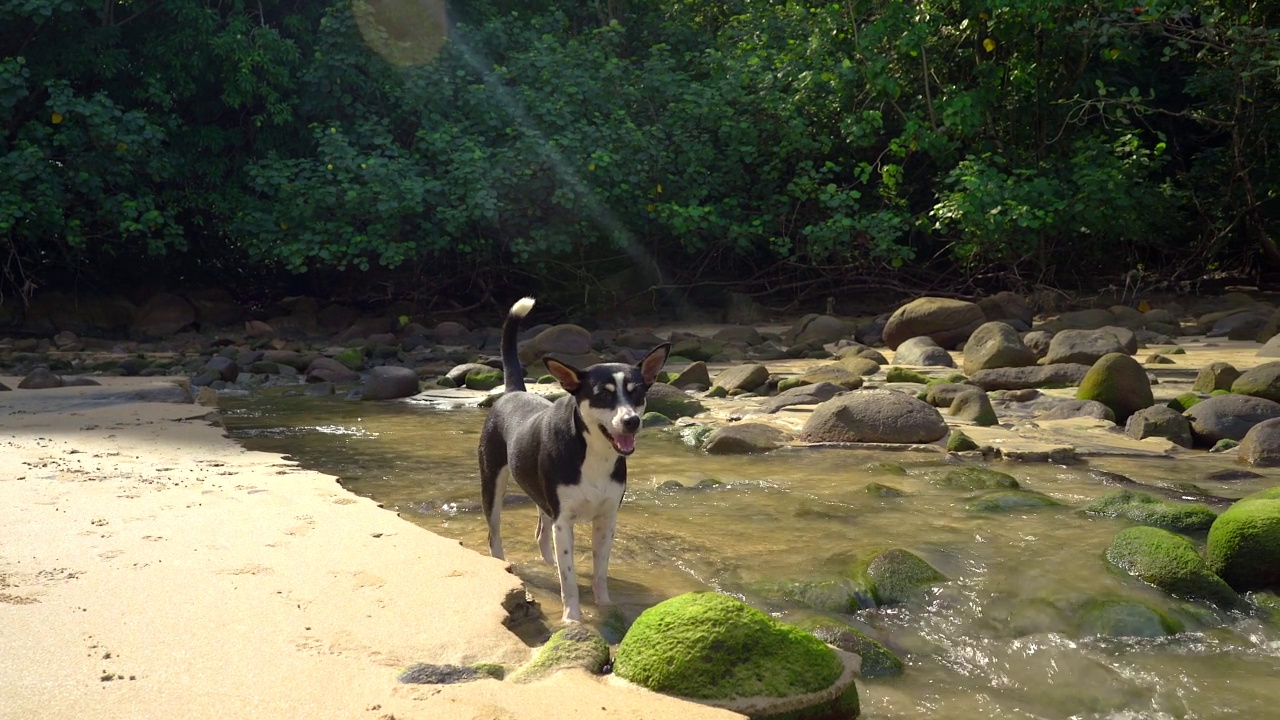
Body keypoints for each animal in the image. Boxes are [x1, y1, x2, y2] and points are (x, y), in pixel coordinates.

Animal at [481, 297, 675, 622]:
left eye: (636, 393)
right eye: (602, 395)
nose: (631, 421)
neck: (594, 454)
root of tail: (513, 392)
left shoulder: (606, 519)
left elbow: (599, 570)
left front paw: (605, 605)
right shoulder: (564, 521)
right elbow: (569, 576)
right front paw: (572, 616)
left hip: (541, 496)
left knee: (541, 531)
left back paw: (547, 564)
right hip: (492, 482)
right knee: (495, 533)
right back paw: (502, 564)